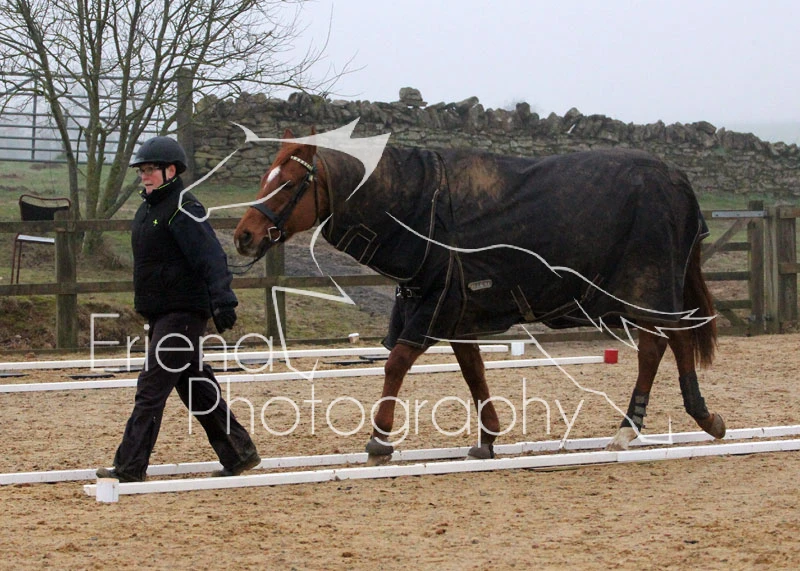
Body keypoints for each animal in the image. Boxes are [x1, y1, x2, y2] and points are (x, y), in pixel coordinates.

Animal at [233, 128, 726, 464]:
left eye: (287, 182)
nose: (243, 236)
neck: (424, 207)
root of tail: (679, 181)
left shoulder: (433, 309)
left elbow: (396, 365)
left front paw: (380, 439)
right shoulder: (456, 313)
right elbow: (473, 372)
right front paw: (487, 438)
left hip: (648, 288)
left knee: (667, 341)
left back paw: (671, 421)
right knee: (663, 343)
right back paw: (661, 423)